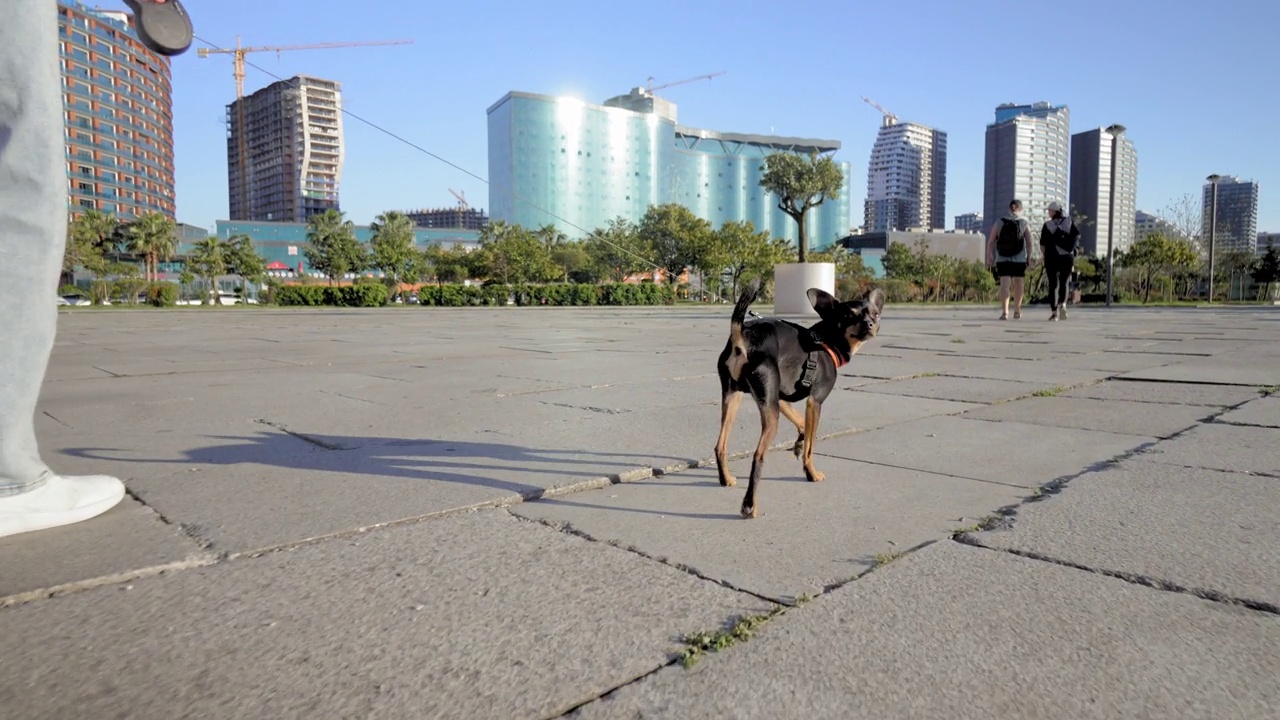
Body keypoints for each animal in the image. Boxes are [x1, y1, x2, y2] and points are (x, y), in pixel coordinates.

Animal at [716, 280, 885, 515]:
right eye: (848, 316)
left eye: (875, 314)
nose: (869, 324)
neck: (825, 341)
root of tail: (743, 336)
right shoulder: (815, 402)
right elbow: (811, 447)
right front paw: (811, 472)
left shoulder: (780, 399)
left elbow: (803, 425)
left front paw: (797, 445)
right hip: (770, 417)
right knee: (758, 455)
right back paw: (749, 505)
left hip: (735, 398)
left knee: (720, 446)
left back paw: (726, 478)